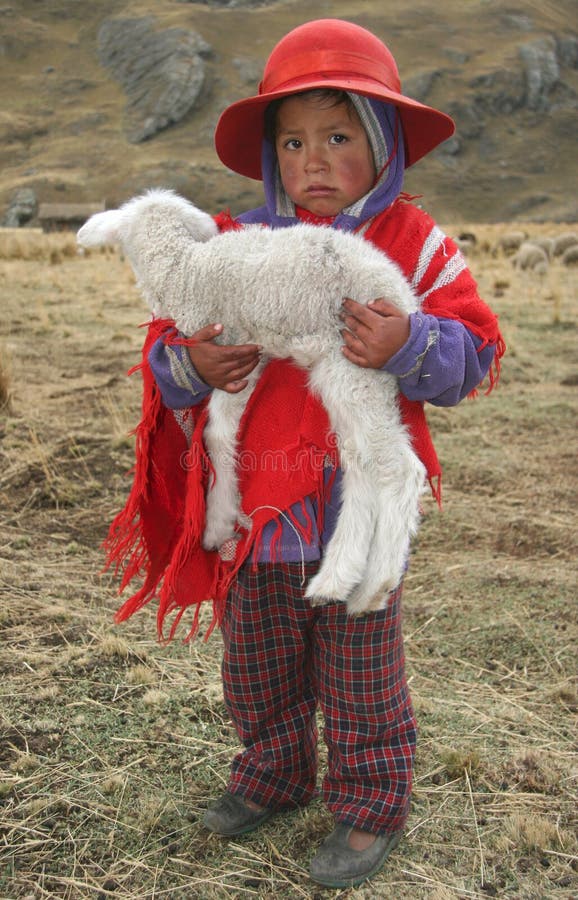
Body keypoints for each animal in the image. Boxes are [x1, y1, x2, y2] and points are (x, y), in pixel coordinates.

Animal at [77, 188, 424, 612]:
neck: (182, 268)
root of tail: (404, 298)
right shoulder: (243, 359)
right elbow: (222, 430)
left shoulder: (232, 345)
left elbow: (215, 435)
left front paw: (216, 523)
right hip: (353, 373)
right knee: (361, 462)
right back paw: (344, 583)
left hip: (357, 362)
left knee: (398, 468)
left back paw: (368, 584)